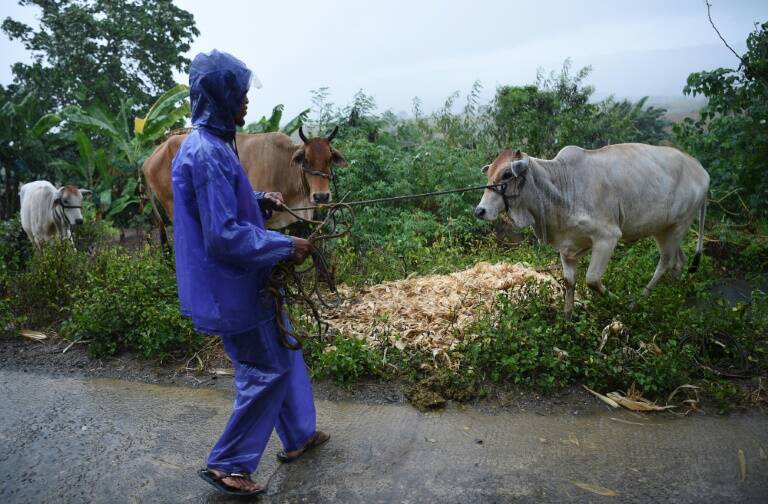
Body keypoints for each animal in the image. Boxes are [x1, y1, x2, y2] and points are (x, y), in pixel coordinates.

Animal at [476, 142, 712, 316]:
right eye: (489, 175)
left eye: (507, 174)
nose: (480, 211)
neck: (562, 186)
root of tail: (701, 170)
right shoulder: (567, 247)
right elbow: (569, 281)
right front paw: (567, 318)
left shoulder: (607, 238)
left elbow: (592, 279)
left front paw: (616, 301)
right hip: (666, 229)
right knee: (678, 261)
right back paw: (674, 294)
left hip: (678, 226)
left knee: (665, 263)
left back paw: (637, 301)